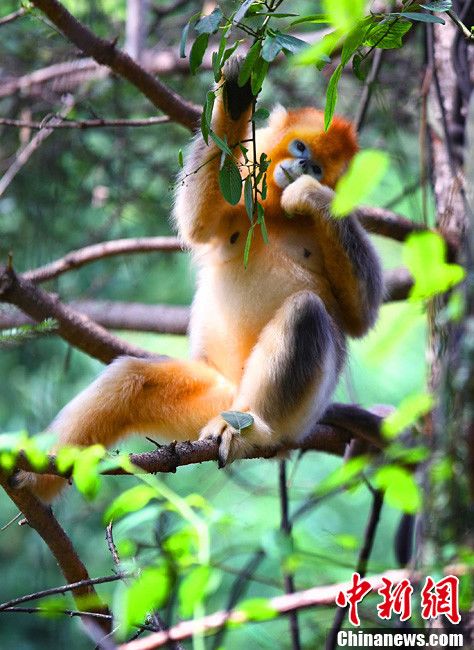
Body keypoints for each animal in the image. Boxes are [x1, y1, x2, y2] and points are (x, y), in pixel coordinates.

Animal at [18, 57, 384, 502]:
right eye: (301, 148)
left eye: (315, 168)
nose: (300, 168)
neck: (275, 212)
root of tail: (237, 397)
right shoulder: (242, 195)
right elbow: (199, 223)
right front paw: (238, 92)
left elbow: (359, 316)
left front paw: (311, 195)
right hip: (210, 398)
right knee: (133, 379)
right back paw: (32, 481)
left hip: (292, 415)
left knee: (307, 313)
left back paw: (252, 432)